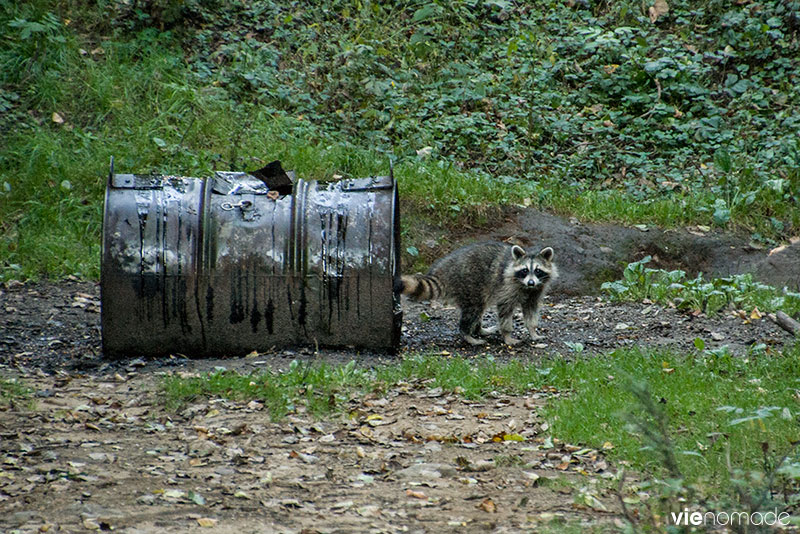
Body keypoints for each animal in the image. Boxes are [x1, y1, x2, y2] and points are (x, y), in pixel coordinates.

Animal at [398, 242, 560, 348]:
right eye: (525, 270)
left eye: (538, 271)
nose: (531, 282)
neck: (526, 286)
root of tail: (442, 269)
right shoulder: (507, 287)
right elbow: (505, 311)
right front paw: (507, 335)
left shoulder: (536, 291)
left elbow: (531, 310)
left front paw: (533, 331)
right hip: (468, 283)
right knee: (473, 309)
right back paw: (467, 334)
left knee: (479, 309)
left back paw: (479, 329)